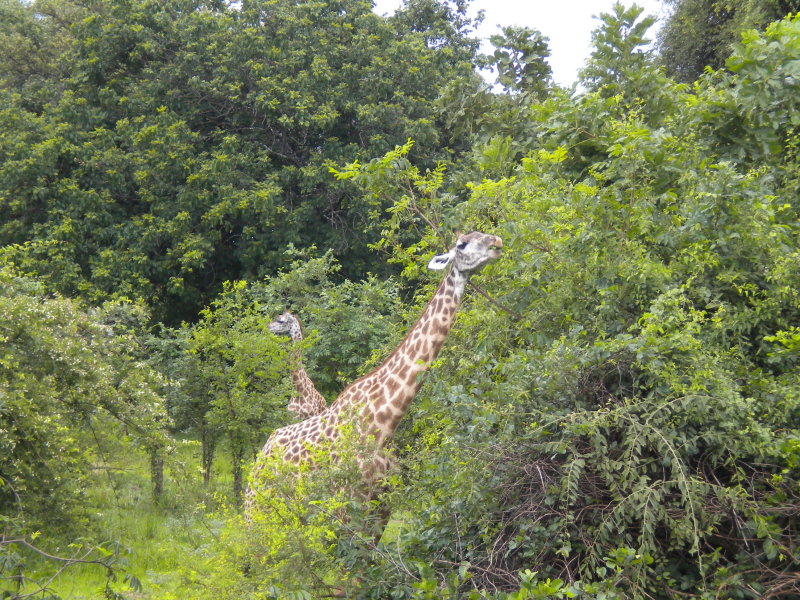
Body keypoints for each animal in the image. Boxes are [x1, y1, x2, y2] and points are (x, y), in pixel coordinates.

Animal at [247, 230, 504, 516]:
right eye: (462, 244)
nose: (497, 243)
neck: (384, 424)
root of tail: (259, 457)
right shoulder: (345, 505)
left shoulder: (381, 508)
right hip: (257, 510)